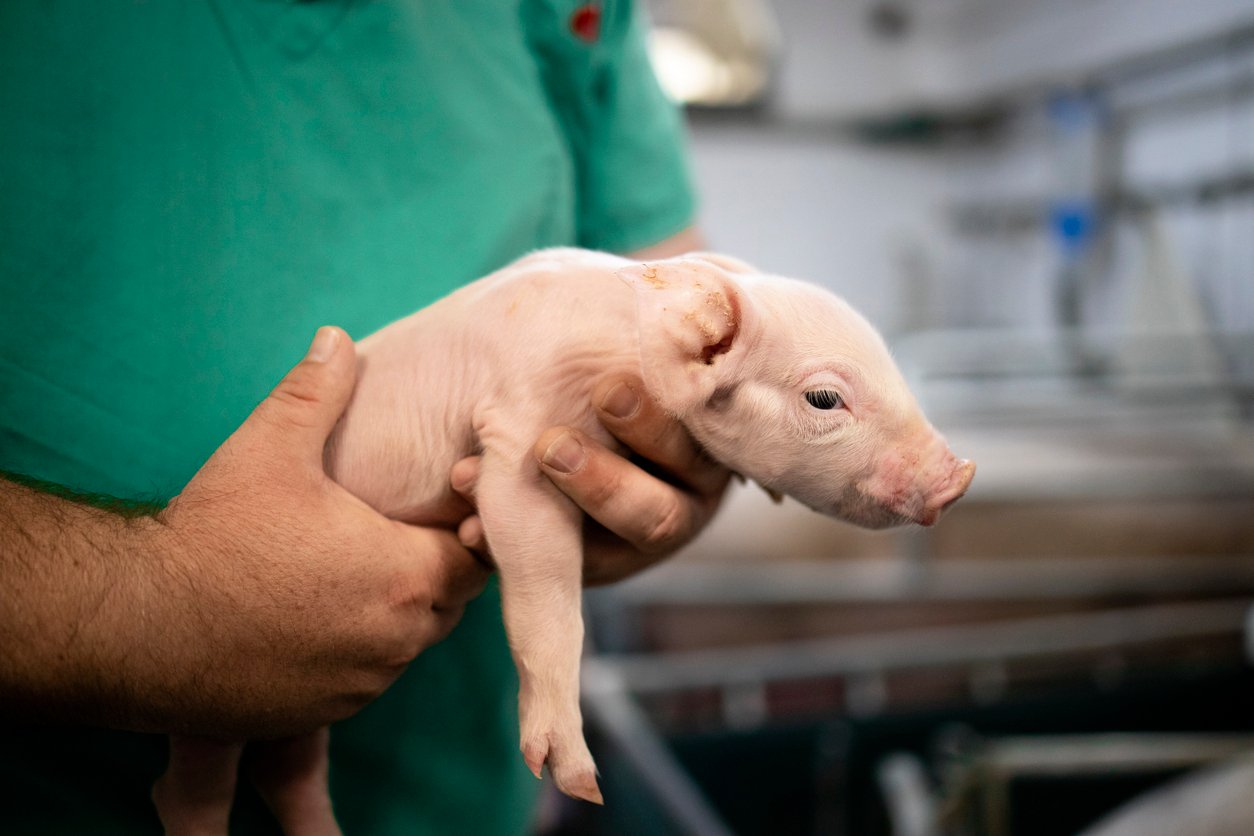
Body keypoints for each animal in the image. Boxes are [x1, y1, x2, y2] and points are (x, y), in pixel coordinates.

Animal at [153, 248, 974, 833]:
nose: (959, 475)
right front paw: (580, 786)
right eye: (824, 398)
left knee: (290, 769)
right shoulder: (521, 436)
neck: (618, 351)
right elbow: (547, 594)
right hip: (229, 674)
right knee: (191, 782)